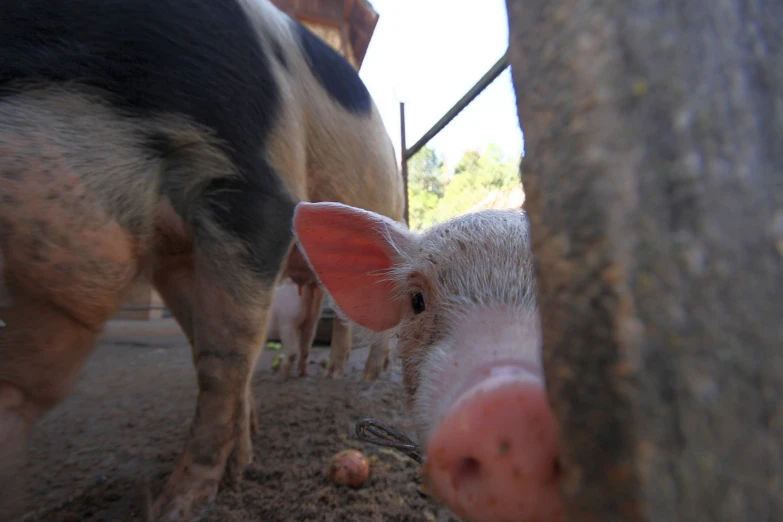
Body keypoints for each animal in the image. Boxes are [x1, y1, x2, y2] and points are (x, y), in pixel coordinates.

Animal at [0, 2, 404, 516]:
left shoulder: (258, 191)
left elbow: (220, 361)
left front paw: (179, 505)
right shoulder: (172, 254)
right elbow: (210, 347)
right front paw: (243, 453)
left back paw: (363, 377)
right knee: (314, 315)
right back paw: (305, 374)